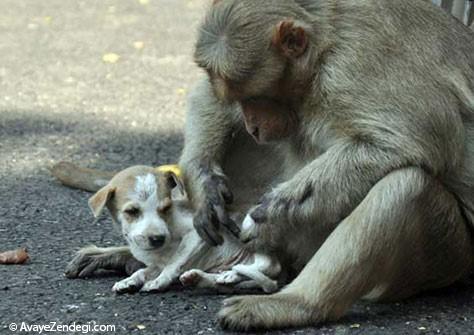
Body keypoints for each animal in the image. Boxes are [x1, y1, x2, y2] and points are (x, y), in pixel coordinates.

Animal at [61, 165, 280, 294]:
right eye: (132, 211)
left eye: (166, 208)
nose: (158, 238)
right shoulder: (155, 261)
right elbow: (142, 271)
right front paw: (130, 281)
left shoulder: (195, 235)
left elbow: (174, 263)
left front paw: (159, 282)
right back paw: (210, 277)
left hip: (250, 232)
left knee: (269, 266)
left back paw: (232, 274)